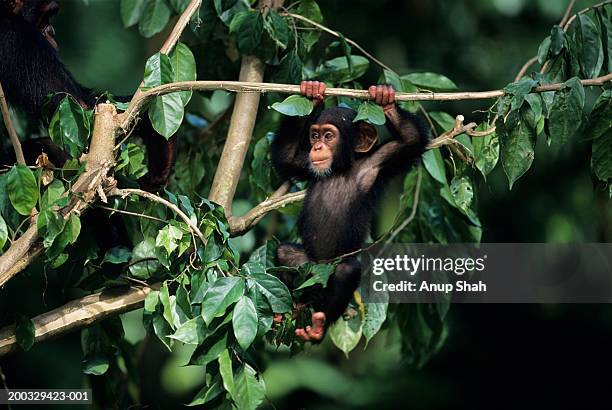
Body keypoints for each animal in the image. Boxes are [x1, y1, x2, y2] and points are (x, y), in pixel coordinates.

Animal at [270, 81, 428, 342]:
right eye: (314, 135)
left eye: (329, 135)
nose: (317, 146)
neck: (339, 169)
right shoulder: (306, 165)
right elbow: (286, 157)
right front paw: (312, 92)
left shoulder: (379, 162)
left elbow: (411, 140)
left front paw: (385, 97)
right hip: (308, 267)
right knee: (284, 253)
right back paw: (289, 309)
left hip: (332, 269)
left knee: (347, 271)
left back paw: (318, 326)